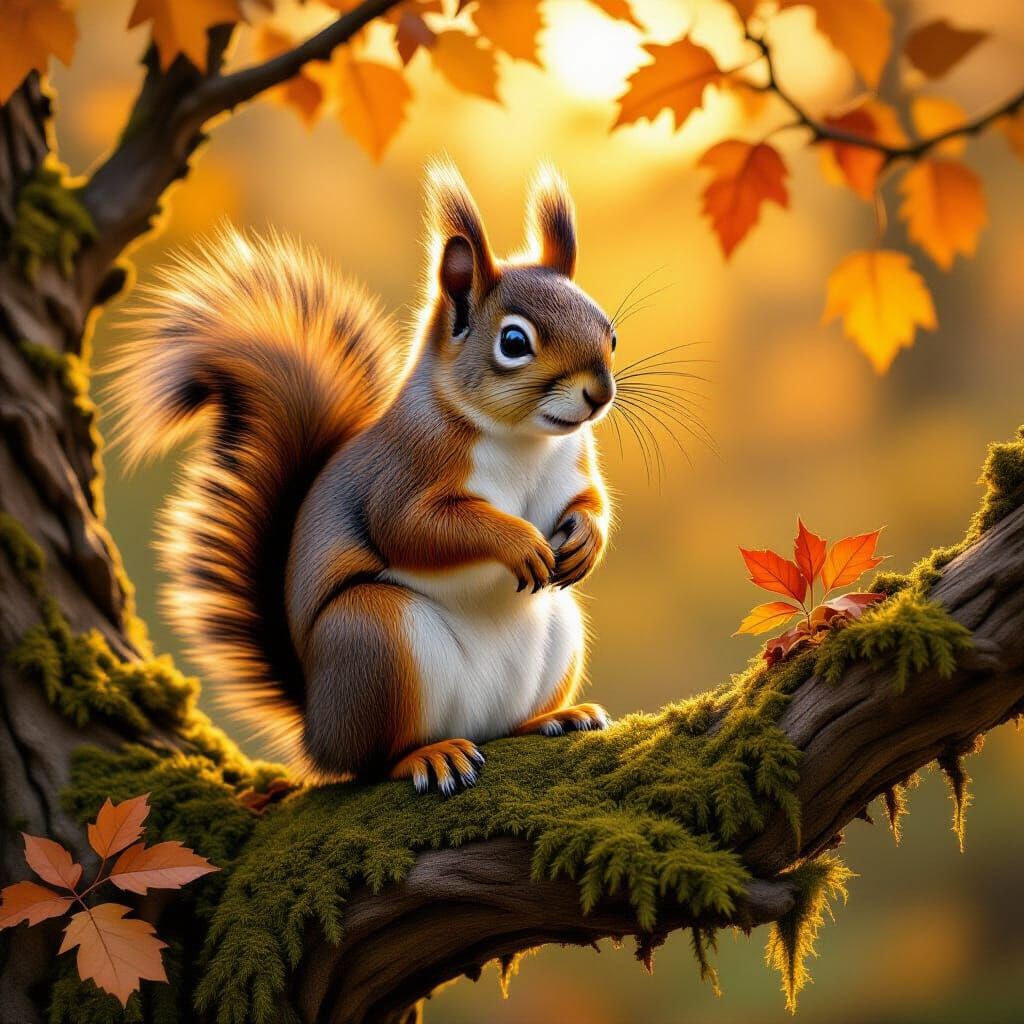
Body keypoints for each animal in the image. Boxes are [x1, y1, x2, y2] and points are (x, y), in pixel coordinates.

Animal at [110, 162, 617, 794]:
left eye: (609, 330)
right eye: (514, 342)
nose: (599, 393)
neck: (523, 439)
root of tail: (315, 725)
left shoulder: (572, 463)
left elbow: (589, 501)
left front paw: (588, 540)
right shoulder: (404, 469)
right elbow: (414, 528)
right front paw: (518, 541)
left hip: (556, 631)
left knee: (505, 723)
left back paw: (556, 717)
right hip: (374, 638)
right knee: (372, 762)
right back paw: (428, 756)